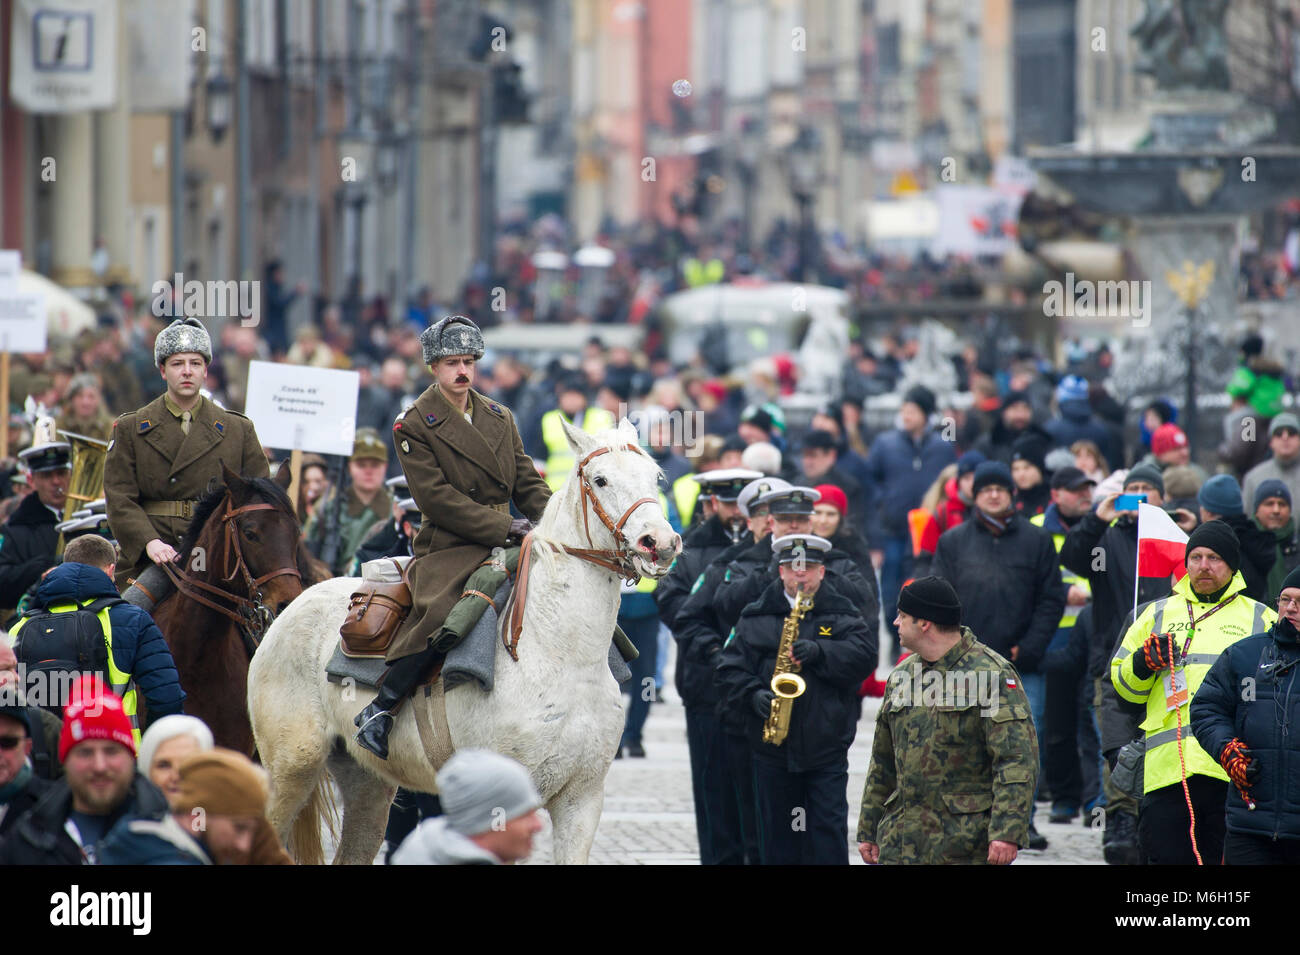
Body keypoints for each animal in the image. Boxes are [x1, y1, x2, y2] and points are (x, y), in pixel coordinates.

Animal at [246, 420, 686, 867]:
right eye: (600, 480)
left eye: (656, 477)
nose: (660, 543)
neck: (561, 653)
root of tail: (292, 606)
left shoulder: (583, 799)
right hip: (291, 768)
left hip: (367, 784)